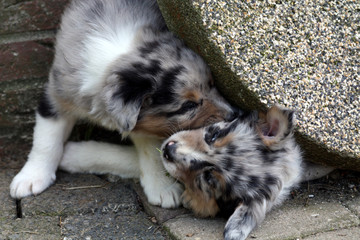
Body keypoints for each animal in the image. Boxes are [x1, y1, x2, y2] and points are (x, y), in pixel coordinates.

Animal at [10, 0, 233, 208]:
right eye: (188, 106)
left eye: (212, 84)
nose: (235, 114)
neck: (114, 59)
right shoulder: (57, 94)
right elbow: (46, 139)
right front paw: (31, 178)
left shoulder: (149, 124)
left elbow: (152, 153)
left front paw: (163, 188)